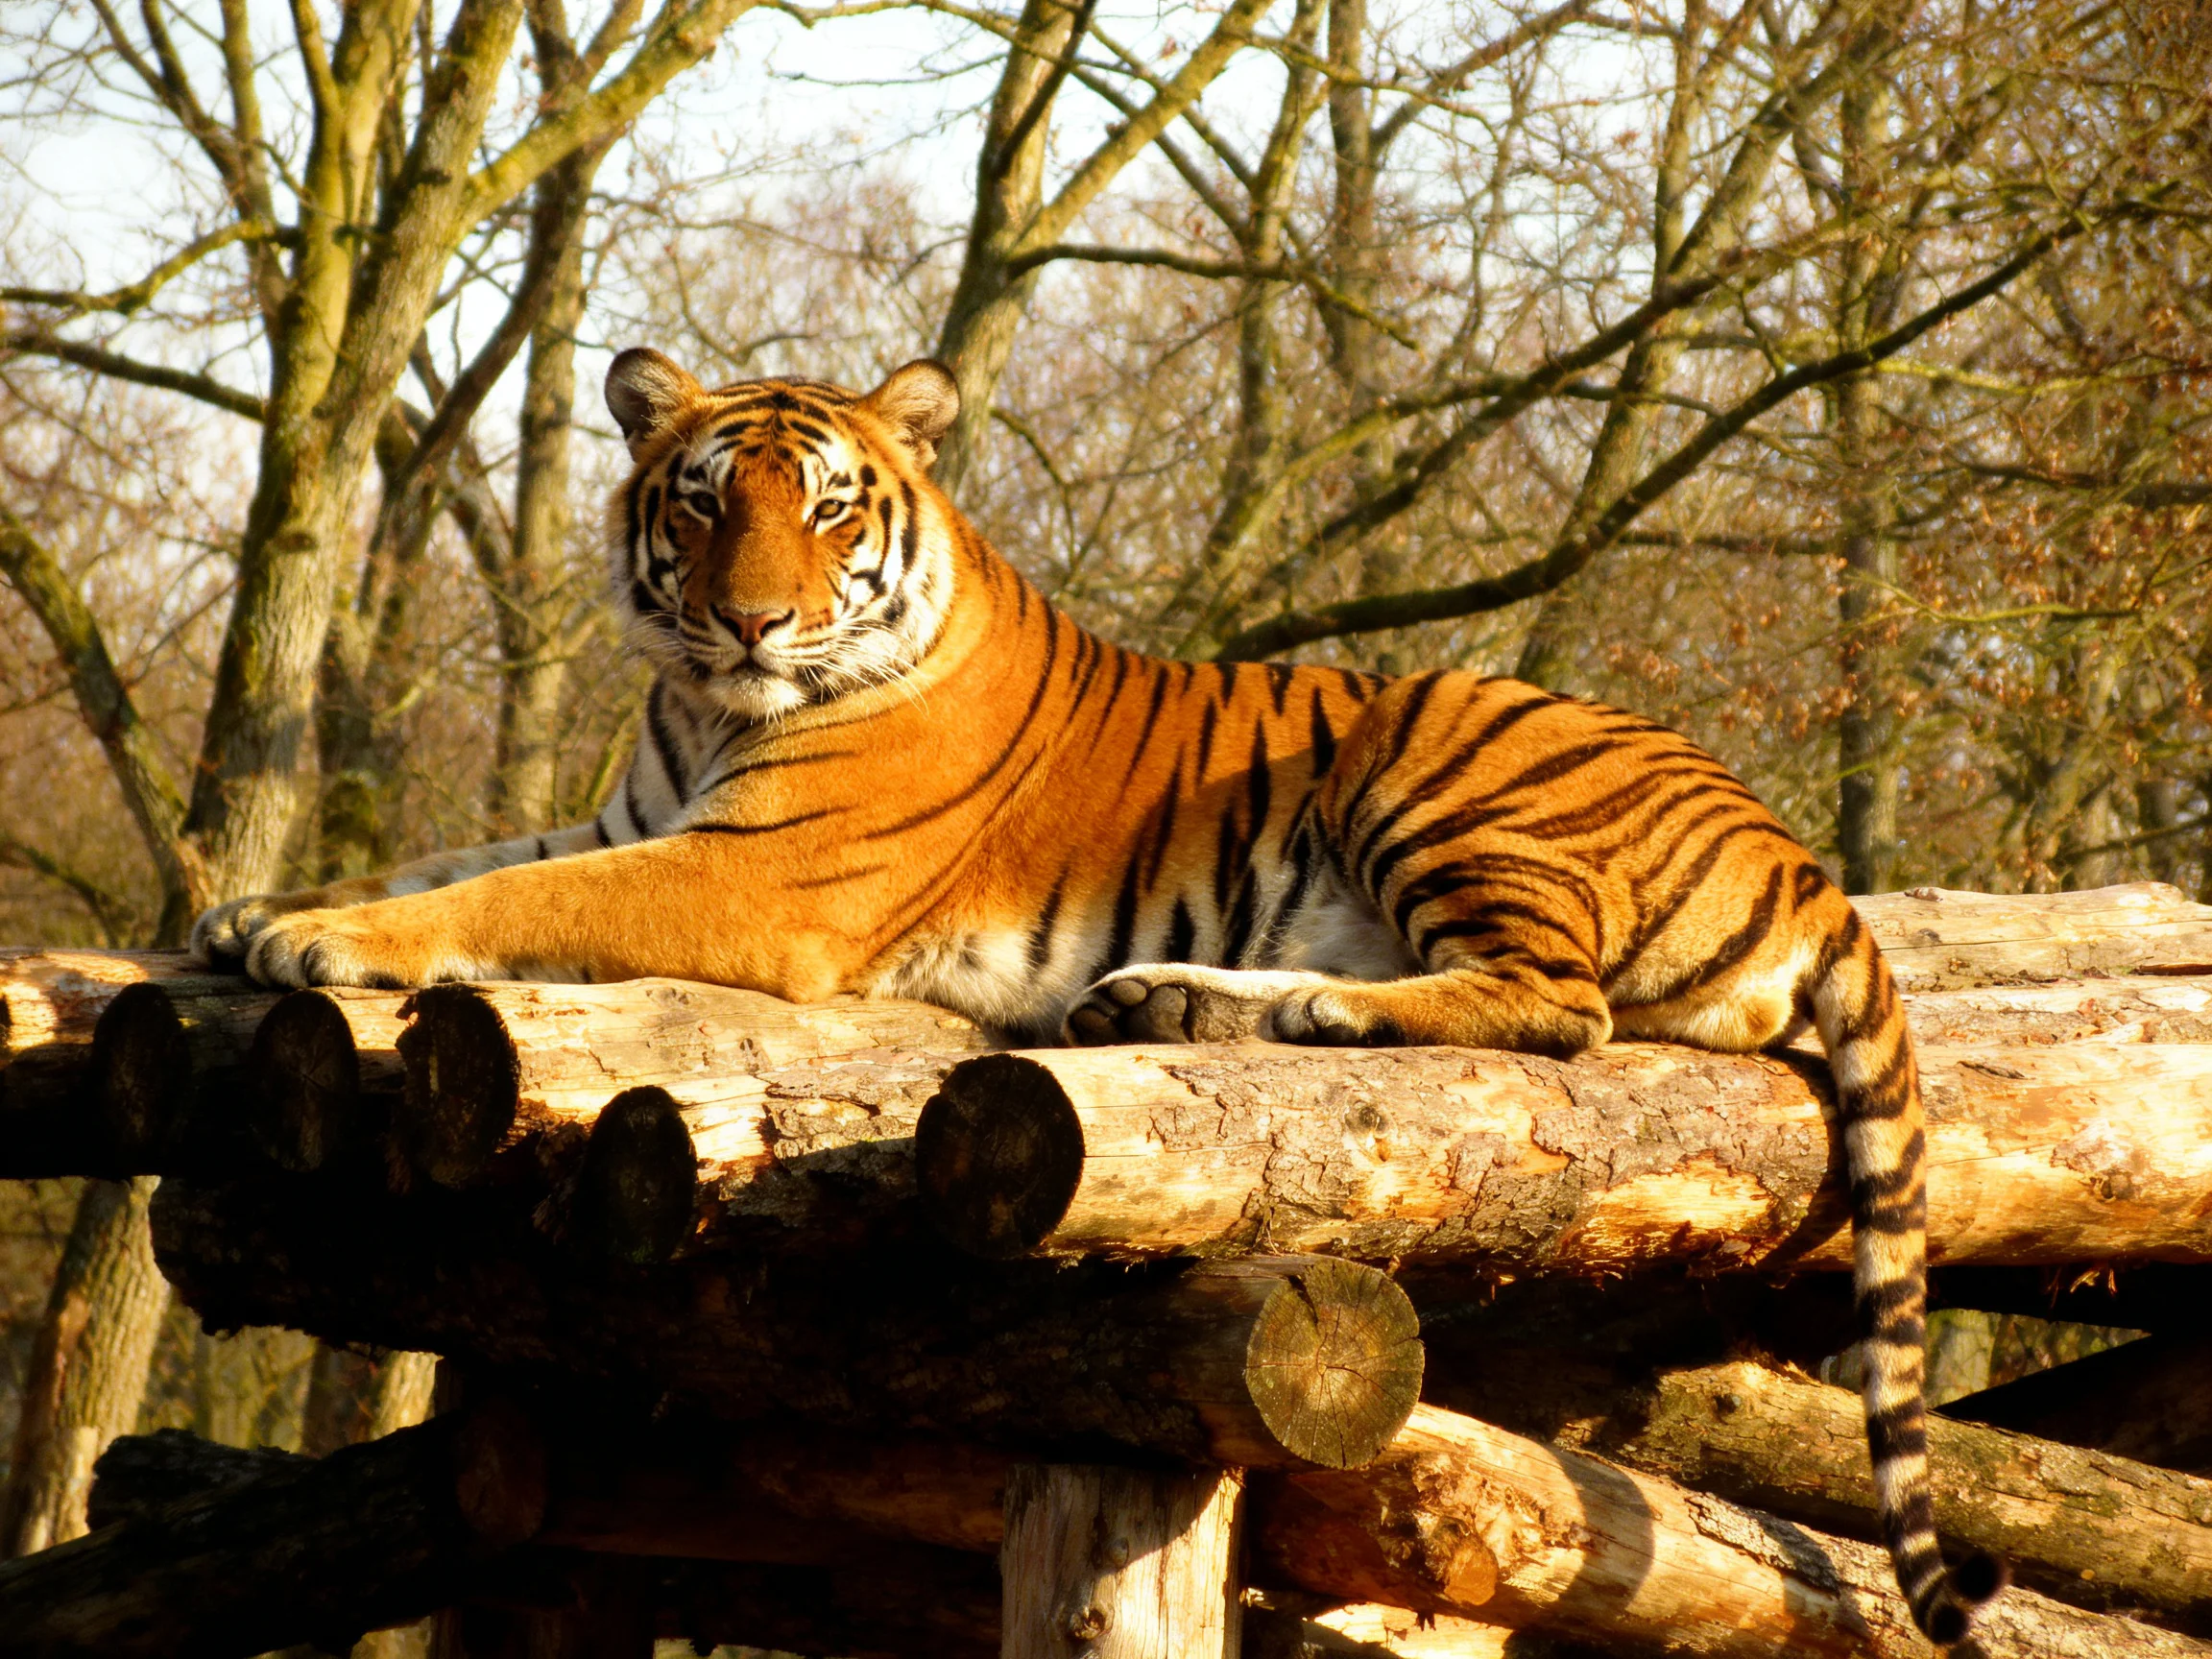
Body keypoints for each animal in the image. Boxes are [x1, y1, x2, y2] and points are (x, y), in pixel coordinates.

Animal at [195, 348, 2002, 1644]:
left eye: (828, 512)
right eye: (701, 506)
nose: (752, 619)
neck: (705, 708)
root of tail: (1799, 851)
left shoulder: (744, 876)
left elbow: (508, 897)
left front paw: (310, 941)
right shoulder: (640, 819)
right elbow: (472, 854)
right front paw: (259, 904)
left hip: (1434, 752)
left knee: (1558, 1007)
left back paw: (1287, 1018)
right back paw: (1169, 1003)